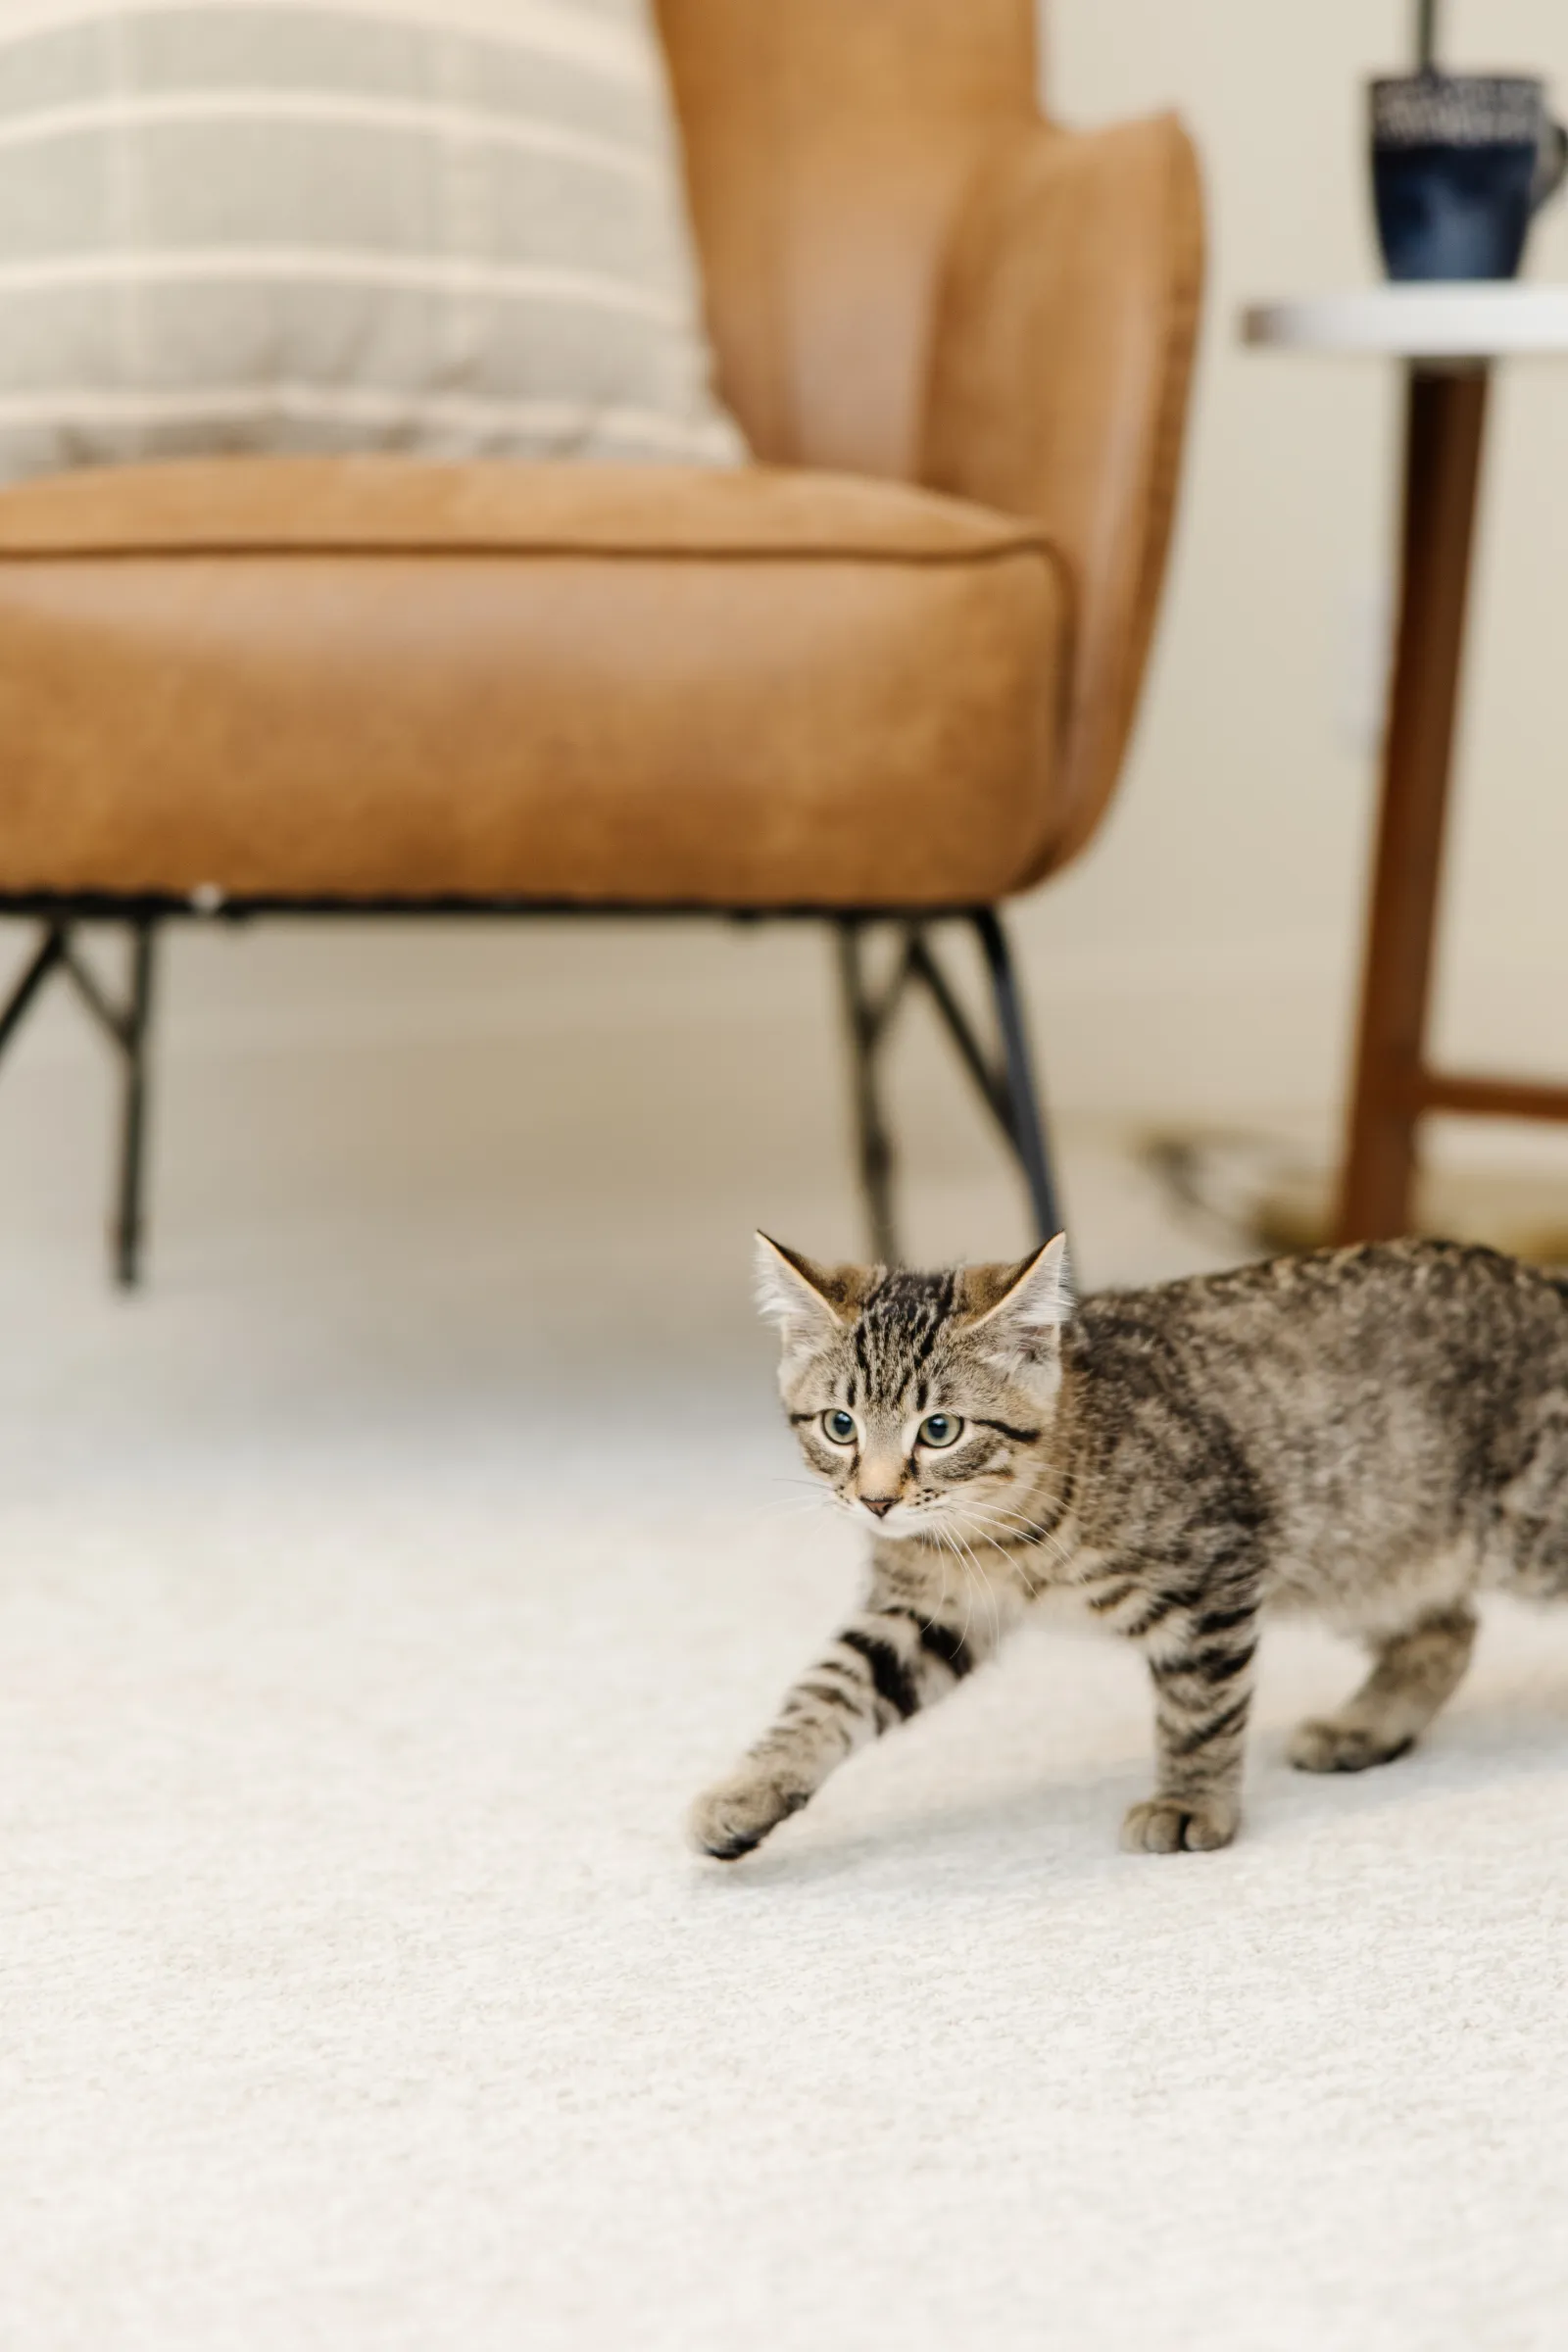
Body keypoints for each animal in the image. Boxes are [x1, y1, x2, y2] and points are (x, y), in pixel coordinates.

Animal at [691, 1232, 1568, 1853]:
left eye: (939, 1430)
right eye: (840, 1425)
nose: (875, 1500)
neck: (1003, 1531)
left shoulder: (1213, 1572)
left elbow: (1199, 1708)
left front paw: (1190, 1802)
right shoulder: (925, 1608)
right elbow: (831, 1690)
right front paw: (750, 1790)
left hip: (1501, 1527)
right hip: (1361, 1544)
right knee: (1447, 1629)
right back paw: (1367, 1727)